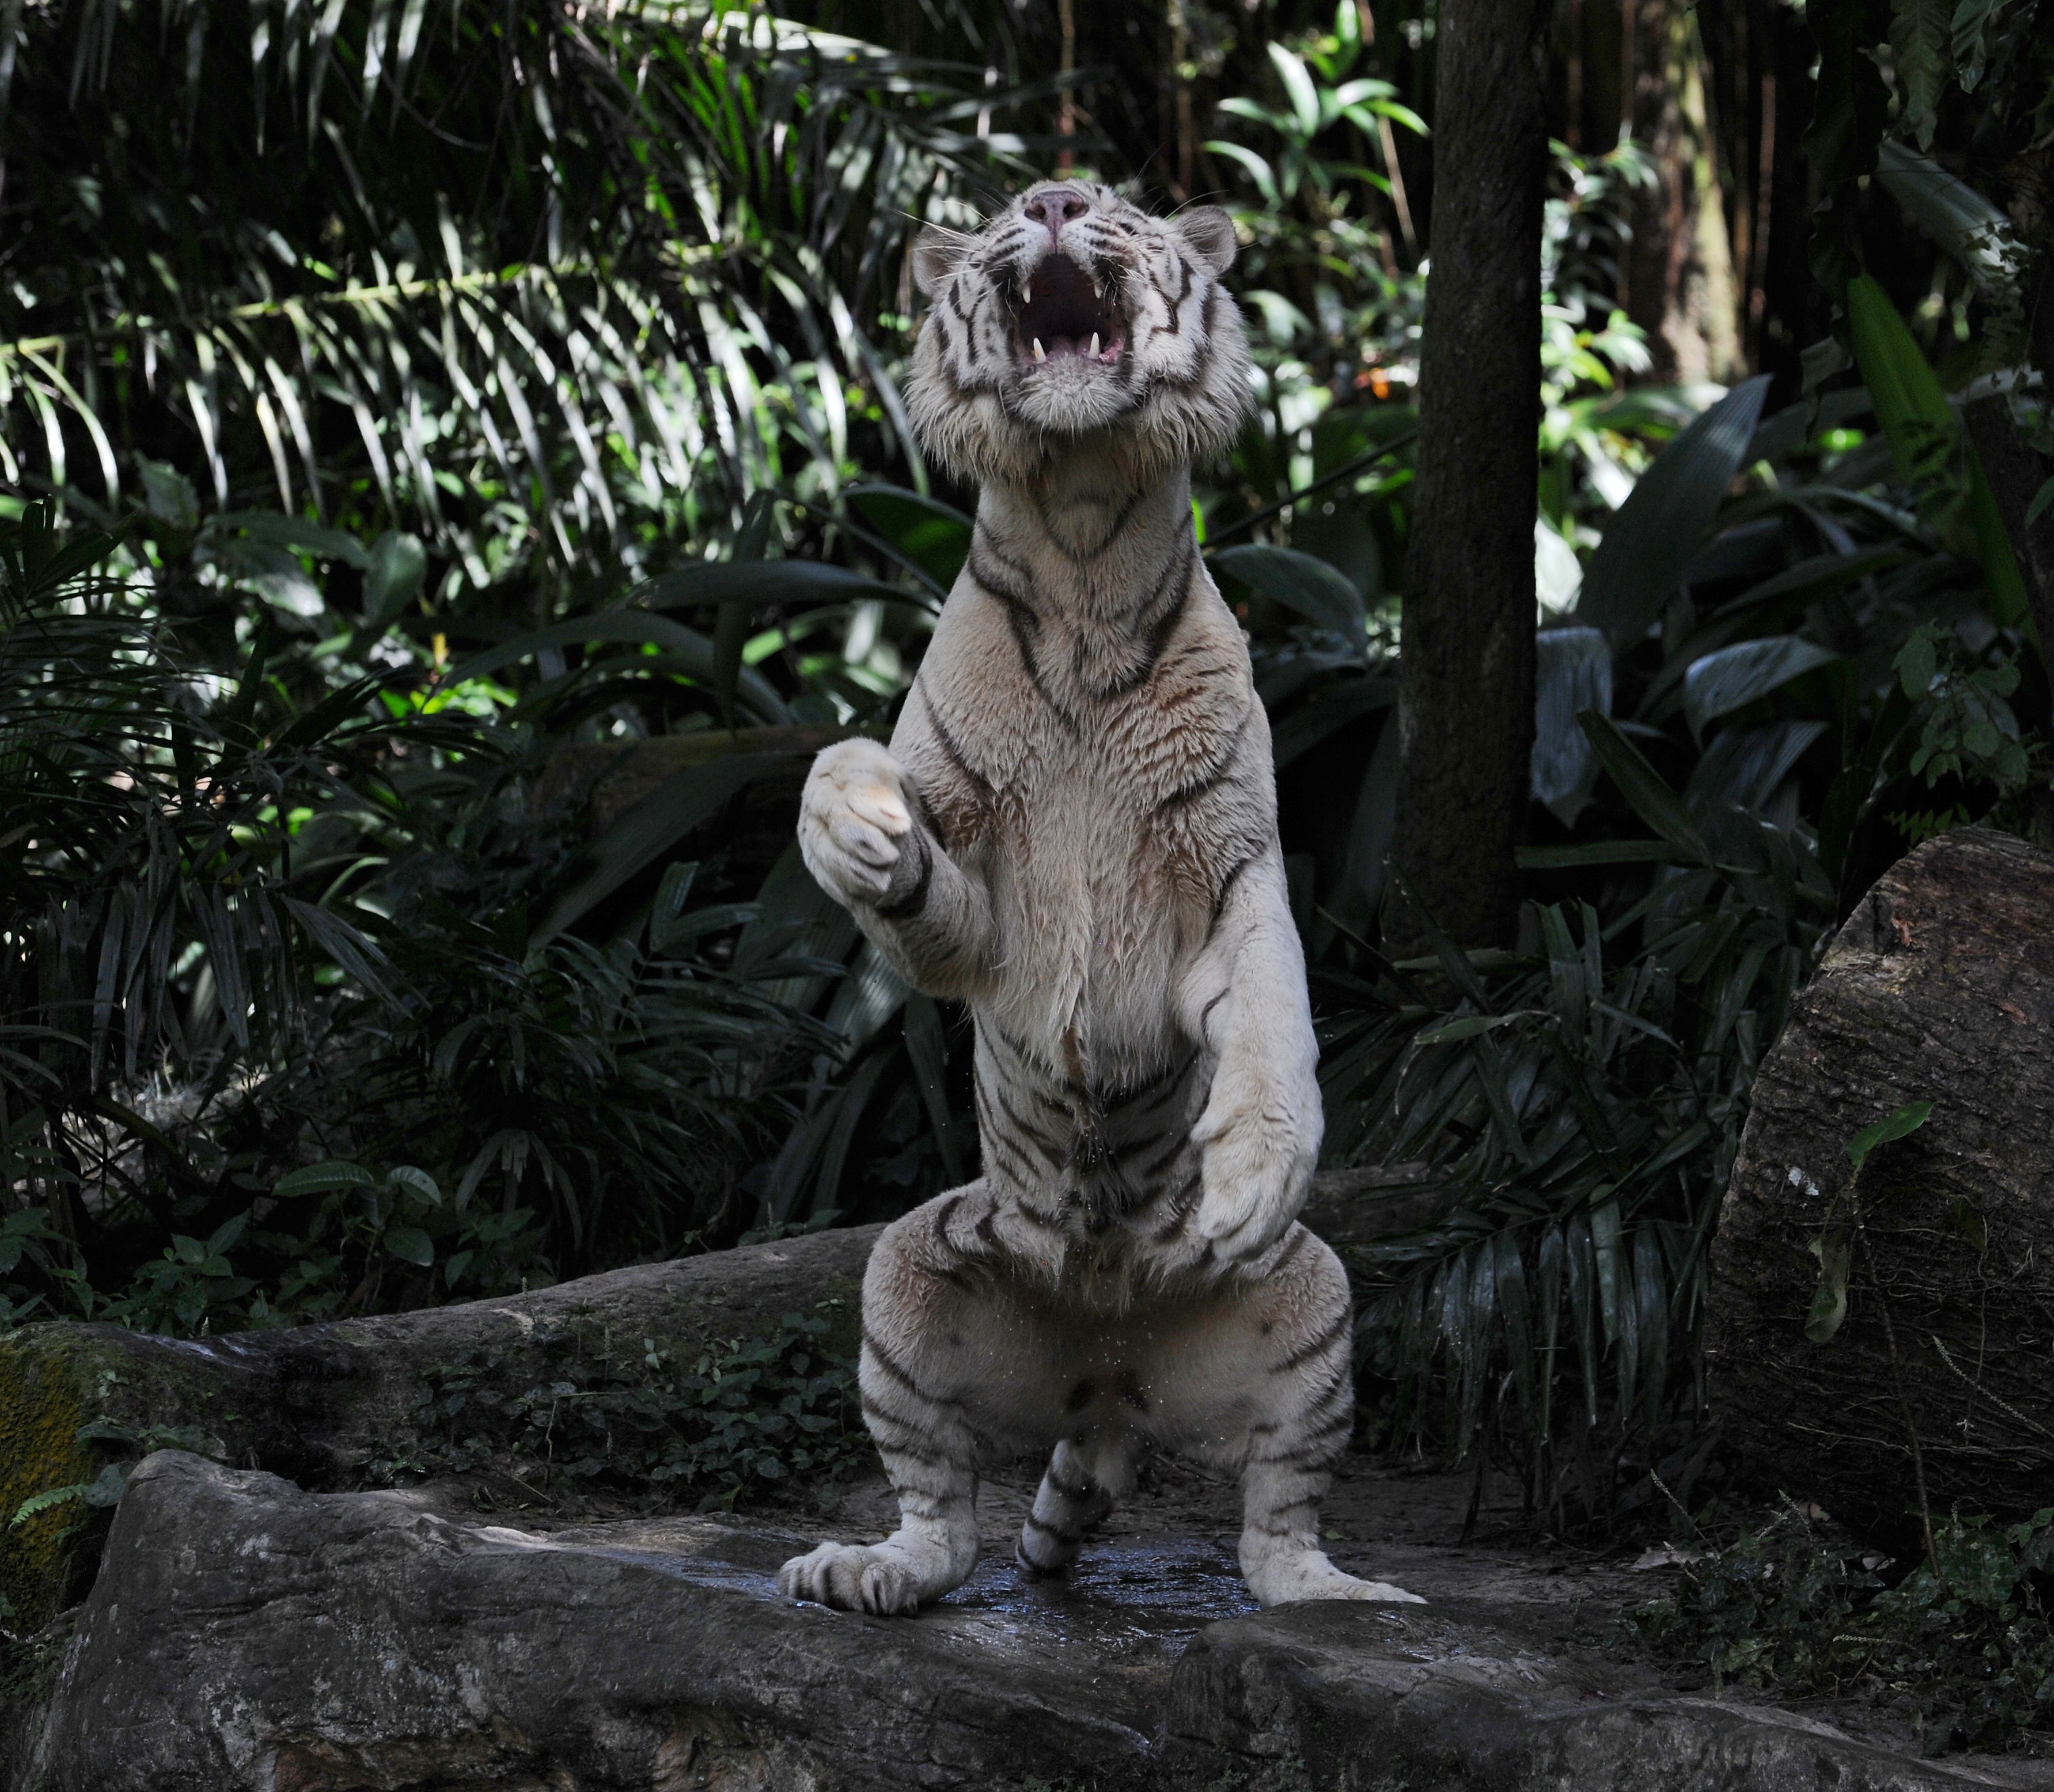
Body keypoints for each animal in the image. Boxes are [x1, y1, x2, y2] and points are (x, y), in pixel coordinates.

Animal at [776, 181, 1423, 1616]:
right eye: (1005, 212)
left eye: (1122, 207)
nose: (1059, 199)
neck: (1077, 544)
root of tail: (1113, 1373)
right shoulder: (984, 908)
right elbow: (878, 830)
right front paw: (856, 824)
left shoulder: (1233, 865)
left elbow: (1275, 1006)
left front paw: (1257, 1160)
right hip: (903, 1280)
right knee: (944, 1517)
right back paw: (867, 1567)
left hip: (1315, 1307)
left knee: (1276, 1527)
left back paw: (1347, 1594)